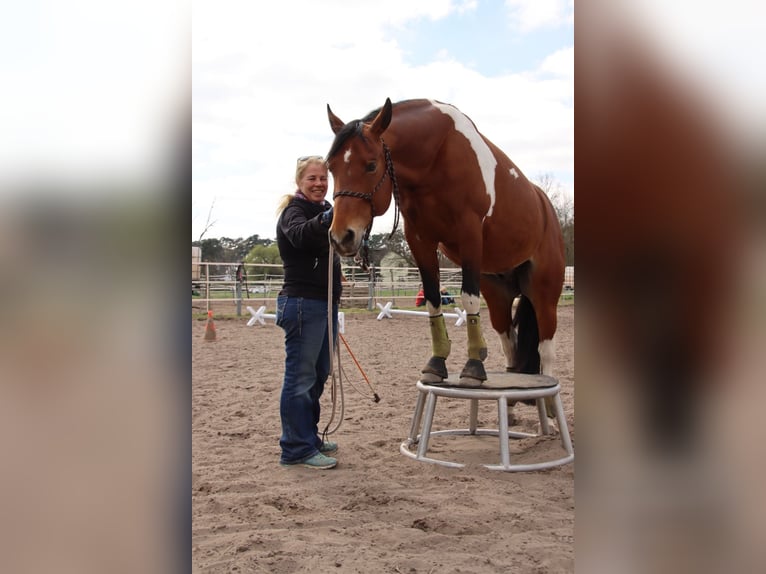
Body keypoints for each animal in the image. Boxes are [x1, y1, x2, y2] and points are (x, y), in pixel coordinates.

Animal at [326, 98, 565, 387]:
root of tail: (545, 207)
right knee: (510, 347)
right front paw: (437, 362)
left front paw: (474, 365)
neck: (437, 155)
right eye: (331, 167)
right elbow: (432, 299)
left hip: (544, 295)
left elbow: (469, 300)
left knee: (547, 353)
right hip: (499, 296)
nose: (341, 236)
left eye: (371, 165)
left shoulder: (470, 235)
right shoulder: (420, 240)